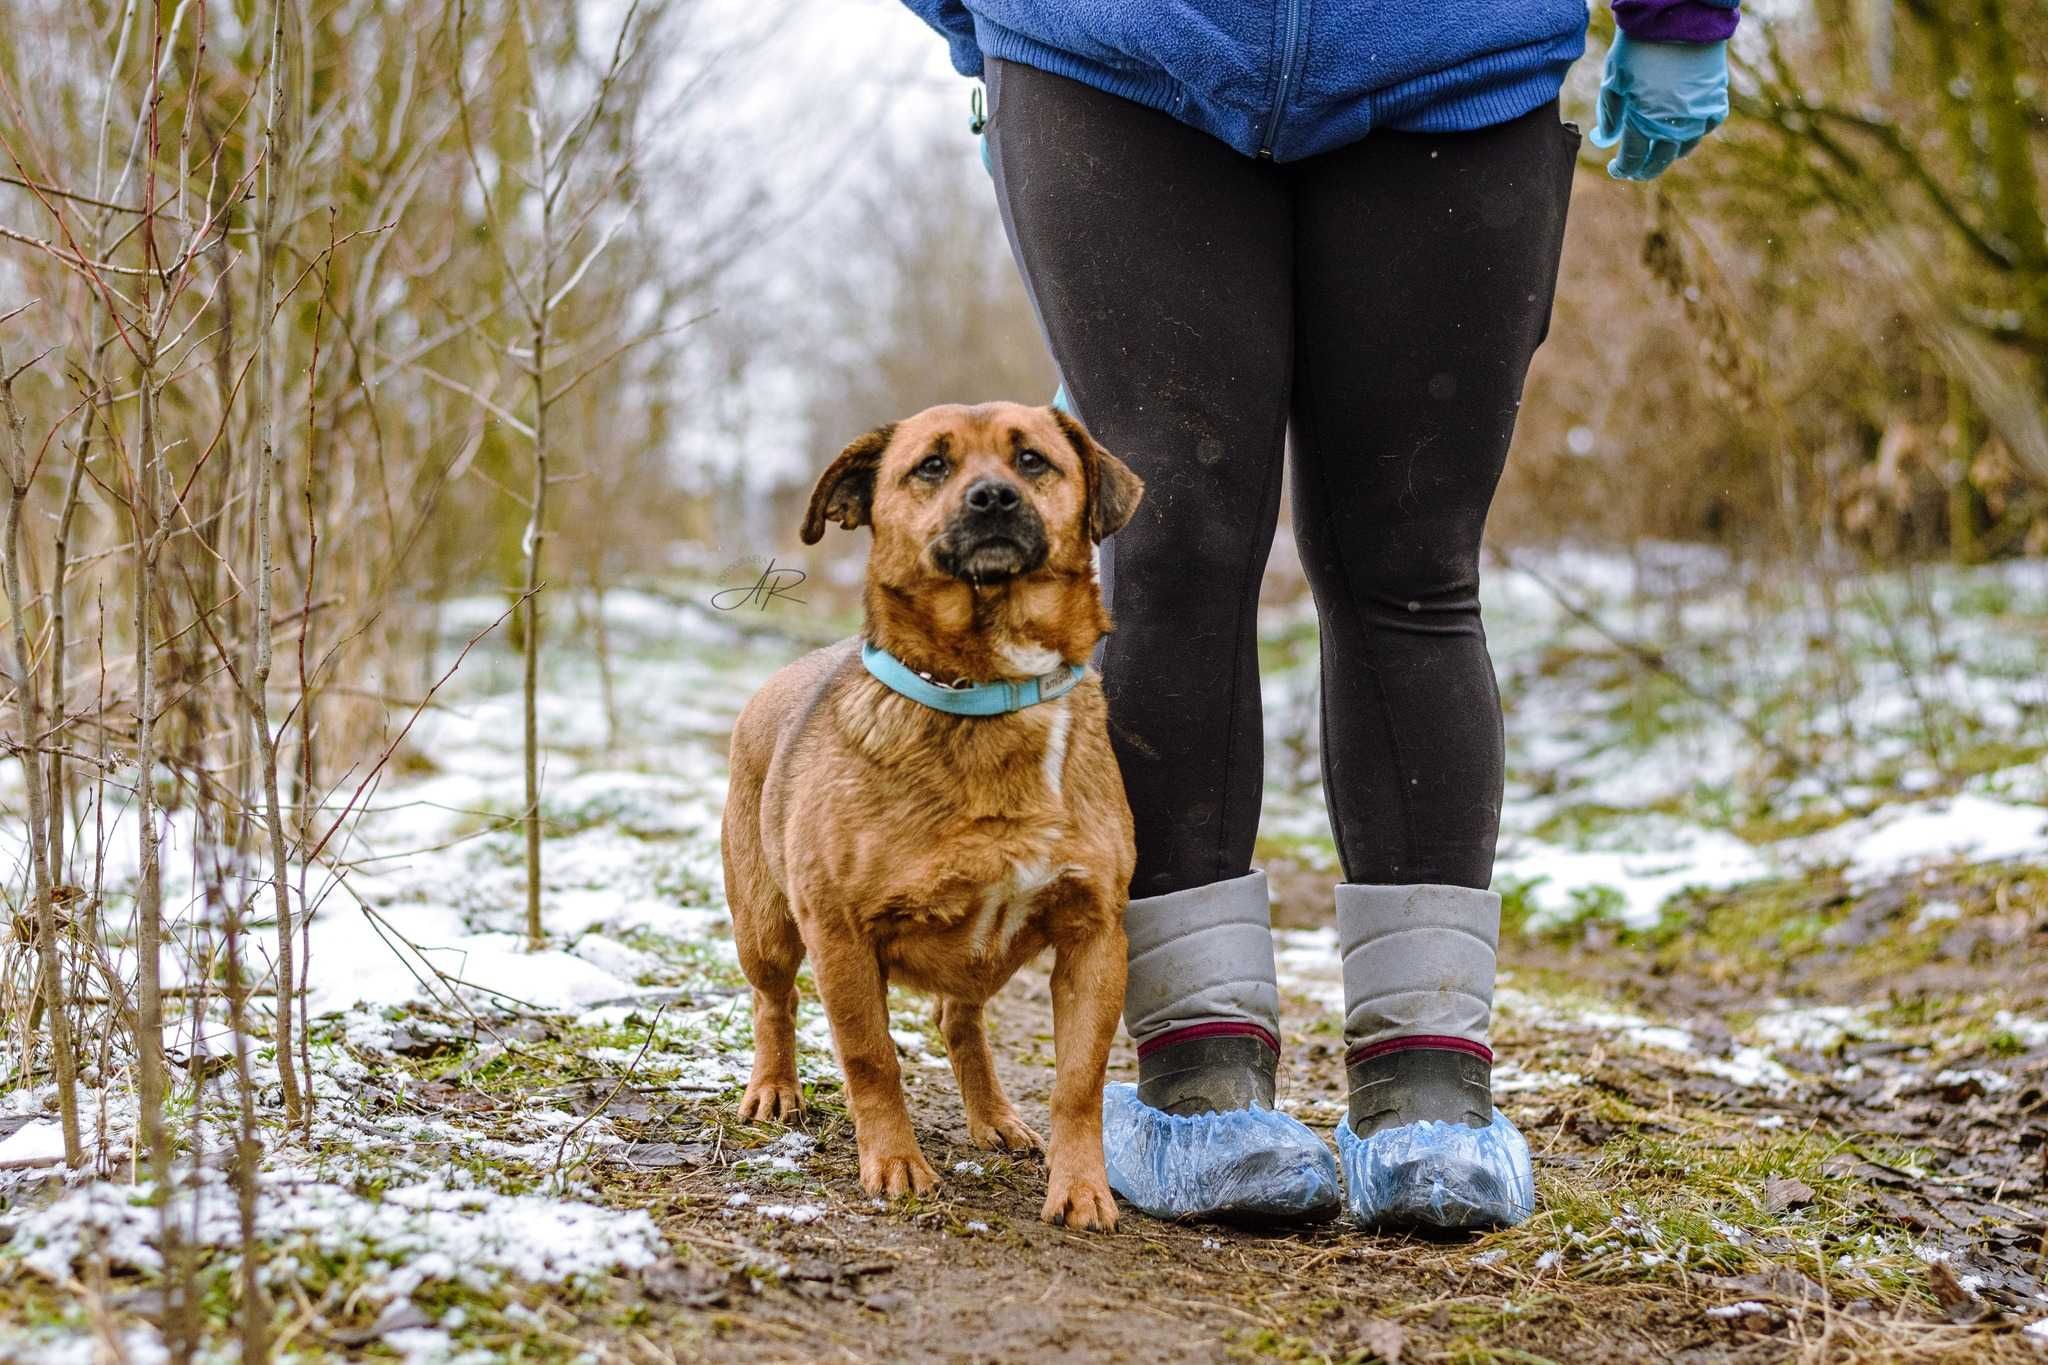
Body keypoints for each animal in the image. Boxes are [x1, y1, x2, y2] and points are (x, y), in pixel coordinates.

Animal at [720, 401, 1146, 1236]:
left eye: (1031, 459)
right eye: (932, 467)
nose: (993, 498)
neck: (991, 690)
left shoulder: (1094, 936)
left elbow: (1078, 1082)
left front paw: (1082, 1187)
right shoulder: (841, 933)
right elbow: (871, 1058)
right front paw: (894, 1164)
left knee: (960, 1020)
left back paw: (995, 1116)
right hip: (766, 926)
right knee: (774, 1000)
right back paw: (775, 1087)